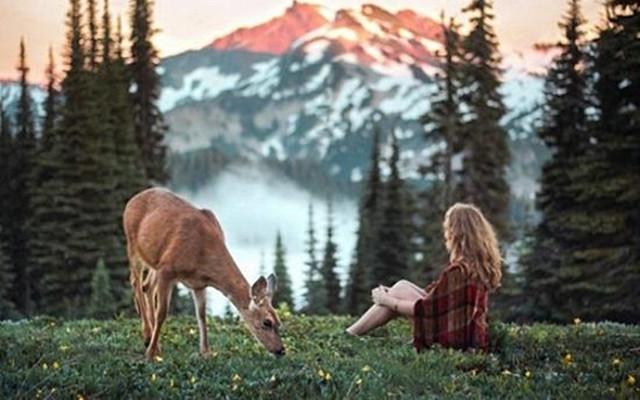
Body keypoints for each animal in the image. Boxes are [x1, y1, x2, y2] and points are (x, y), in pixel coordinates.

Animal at [124, 188, 284, 360]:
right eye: (267, 322)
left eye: (279, 321)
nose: (281, 350)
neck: (202, 254)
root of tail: (133, 199)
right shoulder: (167, 270)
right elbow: (162, 313)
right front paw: (151, 353)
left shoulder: (198, 284)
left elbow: (201, 315)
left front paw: (206, 352)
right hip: (133, 245)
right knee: (136, 282)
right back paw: (148, 336)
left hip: (154, 260)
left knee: (146, 286)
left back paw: (152, 339)